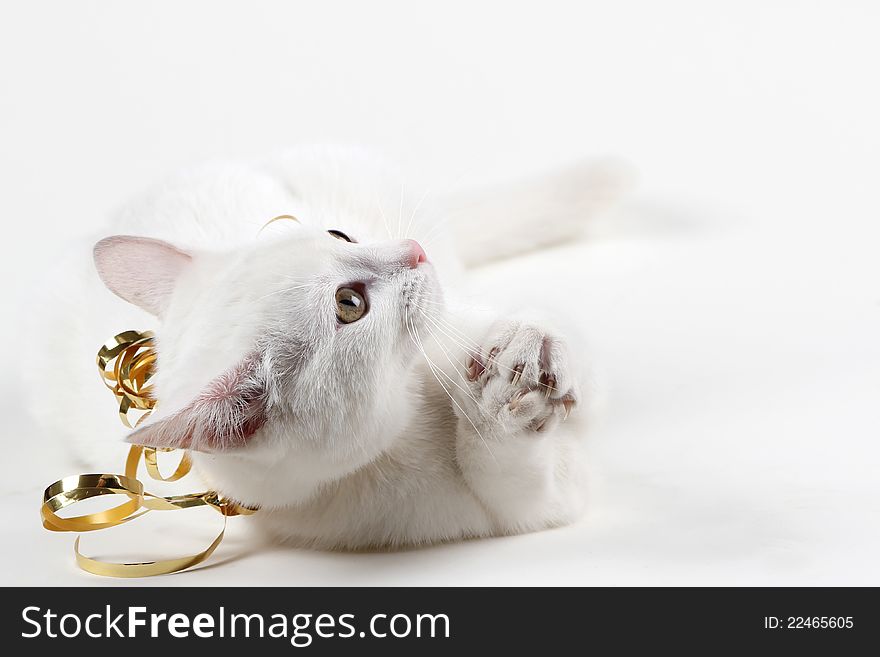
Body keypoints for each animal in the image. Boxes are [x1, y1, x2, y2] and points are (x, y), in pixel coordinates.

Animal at [27, 147, 620, 548]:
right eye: (348, 304)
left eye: (340, 235)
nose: (415, 251)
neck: (412, 406)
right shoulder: (493, 509)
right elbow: (515, 477)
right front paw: (503, 409)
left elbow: (557, 337)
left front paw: (532, 348)